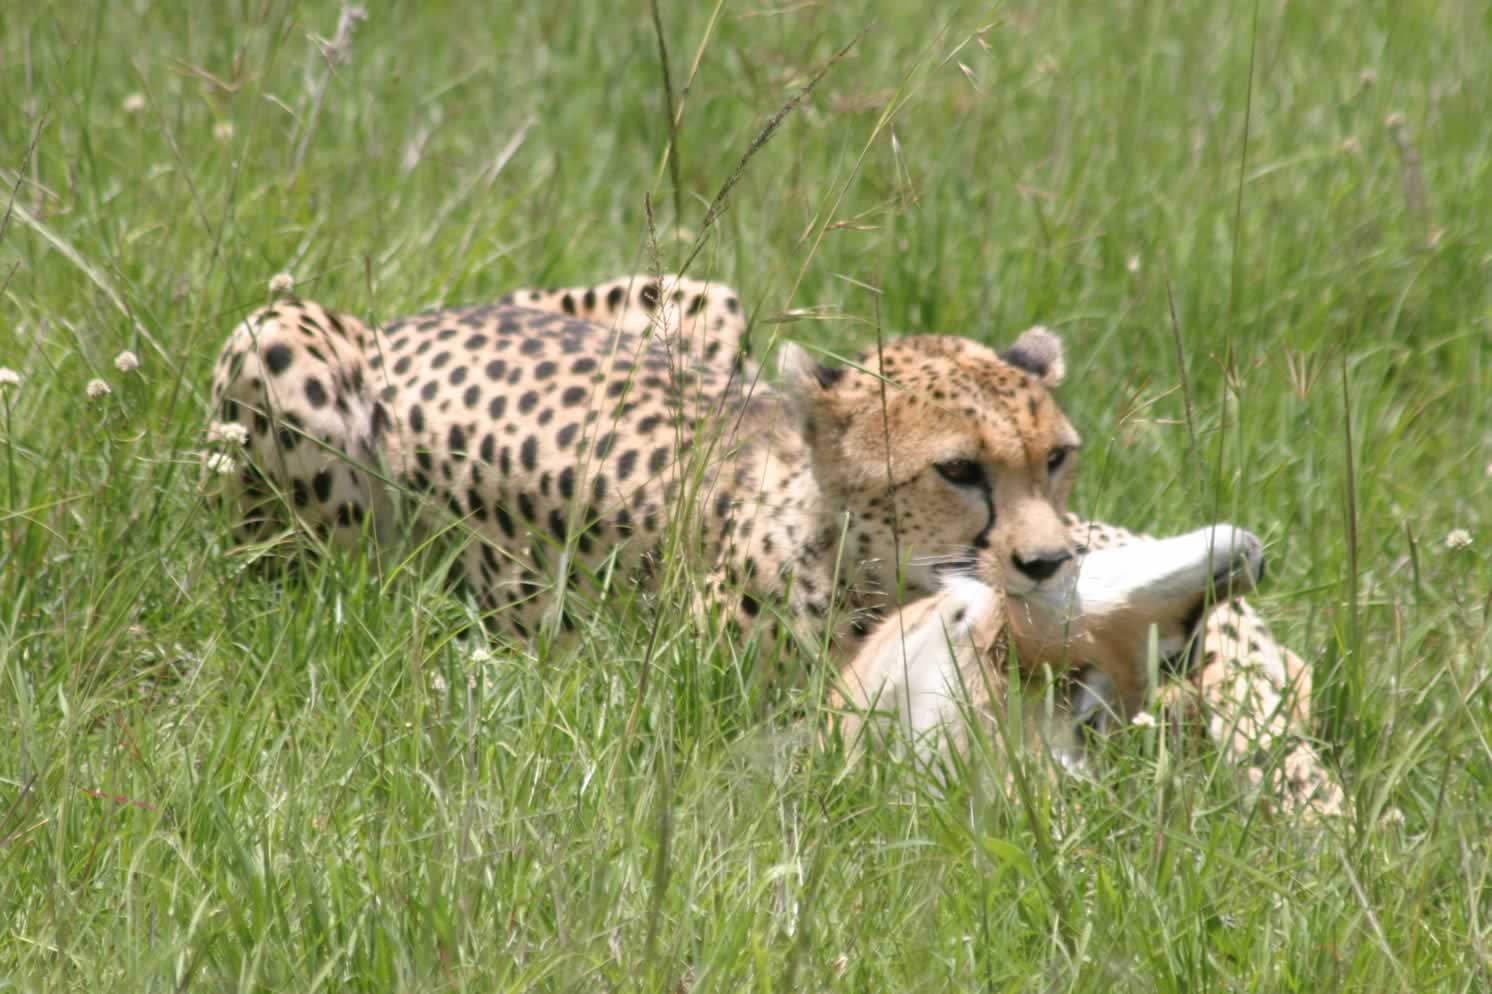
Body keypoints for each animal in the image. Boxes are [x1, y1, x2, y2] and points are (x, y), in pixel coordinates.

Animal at [207, 273, 1342, 811]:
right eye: (957, 470)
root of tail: (417, 317)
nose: (1043, 561)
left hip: (702, 297)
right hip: (276, 354)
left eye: (1054, 456)